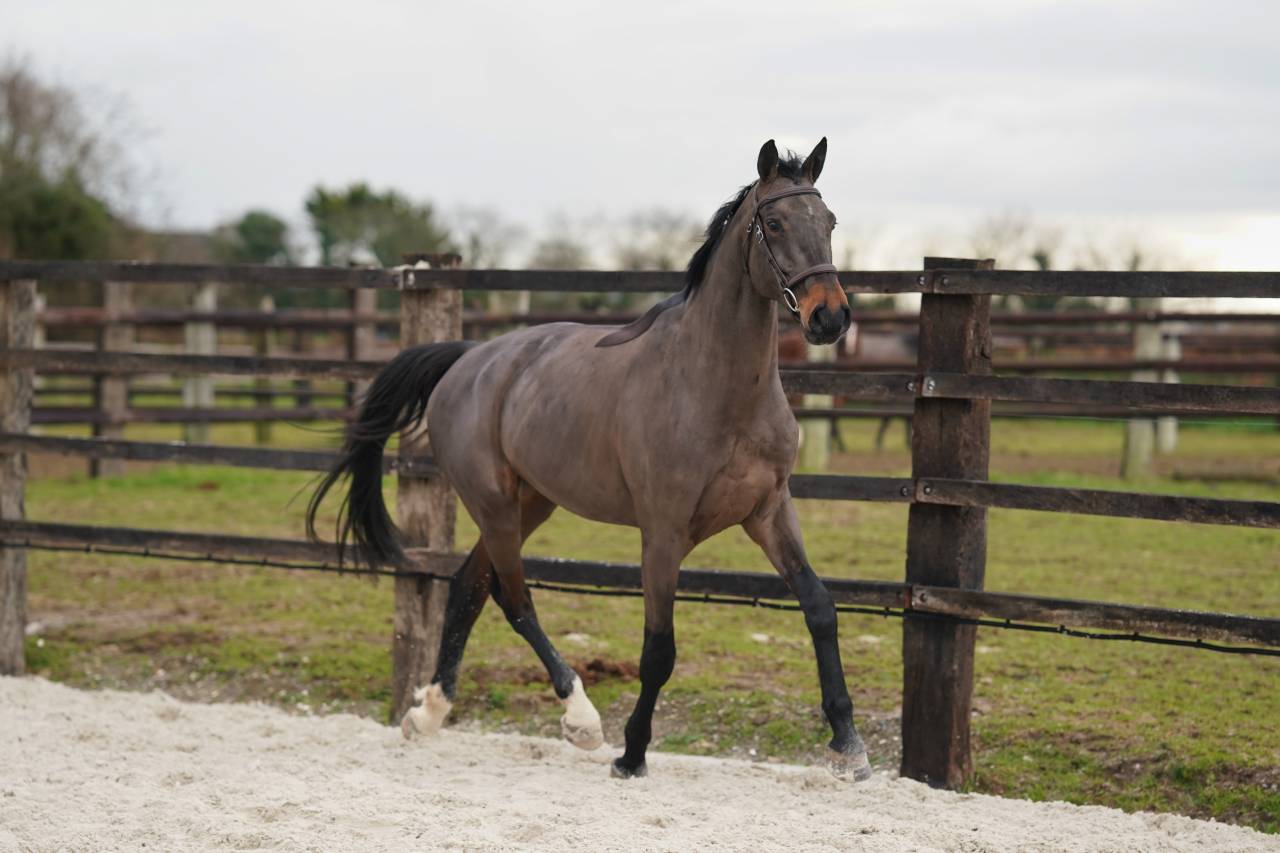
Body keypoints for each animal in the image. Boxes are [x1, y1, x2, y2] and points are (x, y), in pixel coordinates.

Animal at [307, 138, 871, 781]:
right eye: (774, 224)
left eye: (829, 222)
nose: (830, 317)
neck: (716, 388)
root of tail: (468, 358)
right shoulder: (663, 533)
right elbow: (659, 649)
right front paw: (631, 754)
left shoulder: (770, 512)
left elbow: (820, 607)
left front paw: (848, 745)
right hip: (494, 505)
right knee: (513, 598)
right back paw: (580, 720)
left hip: (531, 503)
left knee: (468, 584)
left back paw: (429, 713)